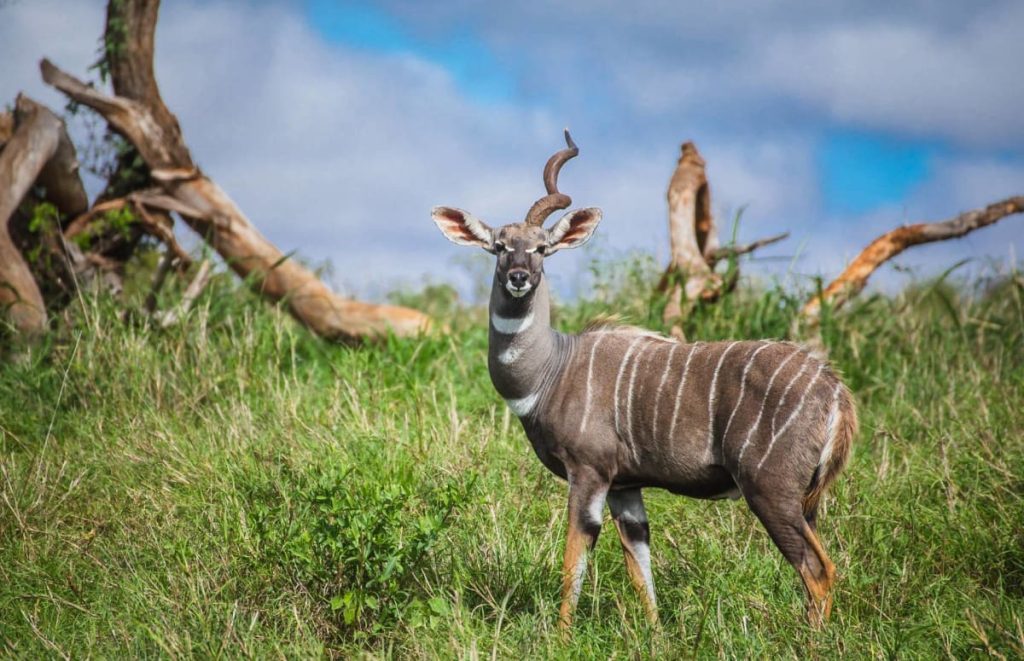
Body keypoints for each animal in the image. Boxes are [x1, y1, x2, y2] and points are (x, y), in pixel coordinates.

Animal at [430, 129, 856, 630]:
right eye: (499, 246)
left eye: (541, 248)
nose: (518, 277)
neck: (550, 370)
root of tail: (834, 389)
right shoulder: (625, 486)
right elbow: (640, 568)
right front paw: (653, 634)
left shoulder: (589, 472)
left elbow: (574, 559)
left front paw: (561, 635)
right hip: (805, 499)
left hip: (770, 490)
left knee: (818, 569)